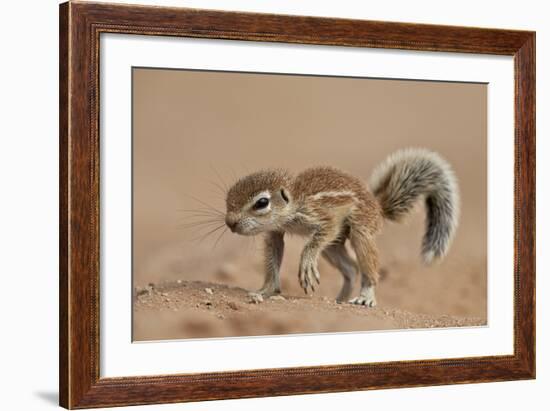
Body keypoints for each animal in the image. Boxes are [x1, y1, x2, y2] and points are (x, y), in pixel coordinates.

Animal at [224, 150, 462, 308]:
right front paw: (266, 289)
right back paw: (340, 299)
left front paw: (307, 263)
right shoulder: (275, 232)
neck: (295, 200)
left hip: (360, 230)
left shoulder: (322, 217)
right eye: (228, 197)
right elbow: (273, 256)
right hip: (334, 247)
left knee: (366, 268)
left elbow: (317, 238)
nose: (230, 223)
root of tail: (378, 208)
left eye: (262, 203)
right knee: (351, 269)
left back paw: (366, 296)